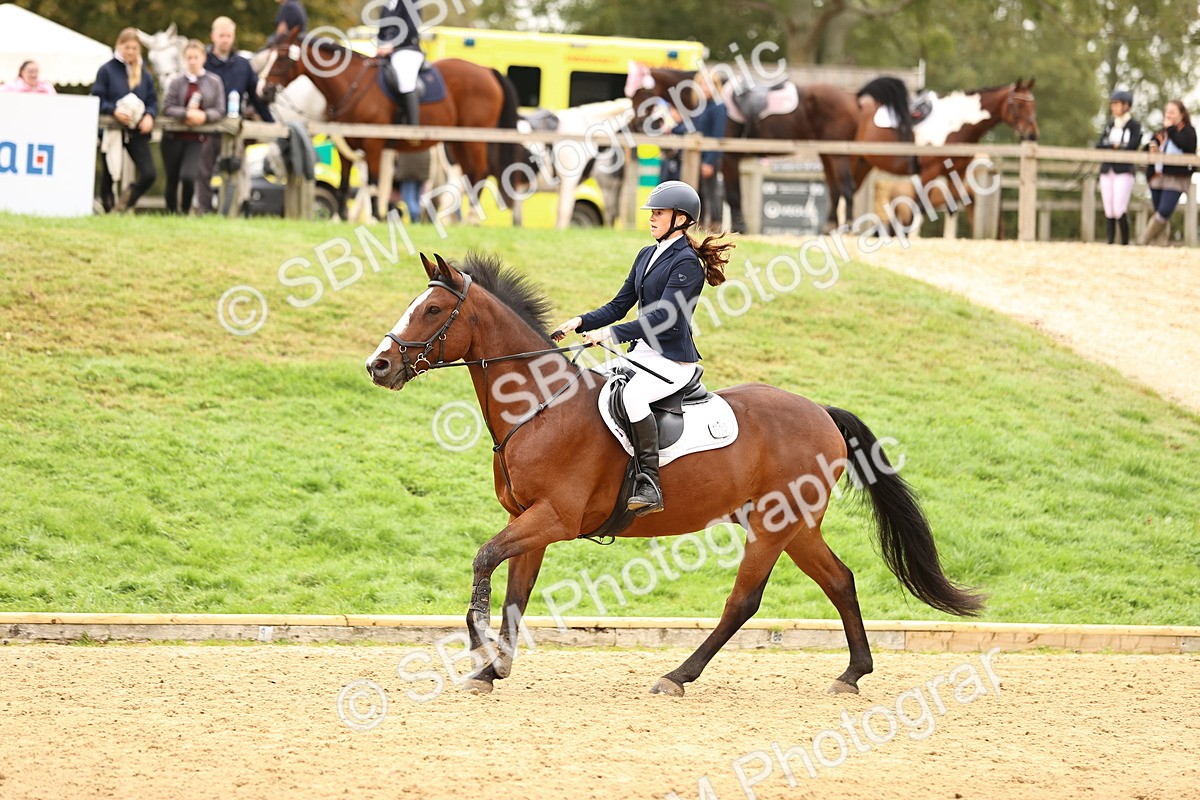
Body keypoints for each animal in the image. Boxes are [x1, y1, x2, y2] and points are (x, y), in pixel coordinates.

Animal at [262, 29, 524, 222]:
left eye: (282, 57)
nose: (263, 91)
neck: (351, 85)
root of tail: (487, 71)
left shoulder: (373, 145)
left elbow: (374, 184)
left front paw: (375, 219)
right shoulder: (347, 147)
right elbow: (346, 184)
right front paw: (339, 219)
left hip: (474, 139)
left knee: (479, 172)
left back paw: (470, 218)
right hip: (456, 142)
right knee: (467, 176)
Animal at [365, 252, 984, 697]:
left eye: (431, 311)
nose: (379, 365)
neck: (540, 406)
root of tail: (820, 413)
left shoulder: (555, 518)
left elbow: (483, 559)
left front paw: (479, 647)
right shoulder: (531, 521)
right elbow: (516, 592)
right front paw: (494, 669)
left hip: (773, 526)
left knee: (744, 601)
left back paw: (678, 676)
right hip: (795, 526)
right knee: (840, 580)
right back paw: (852, 674)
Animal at [626, 65, 860, 234]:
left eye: (644, 91)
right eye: (630, 95)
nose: (637, 125)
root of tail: (851, 98)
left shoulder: (728, 158)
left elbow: (733, 194)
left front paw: (739, 227)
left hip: (838, 154)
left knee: (846, 186)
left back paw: (848, 226)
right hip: (827, 153)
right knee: (834, 188)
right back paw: (830, 226)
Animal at [853, 77, 1038, 228]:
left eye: (1033, 105)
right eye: (1020, 105)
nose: (1032, 134)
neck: (956, 124)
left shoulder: (958, 173)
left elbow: (952, 208)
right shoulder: (929, 172)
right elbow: (918, 208)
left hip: (863, 164)